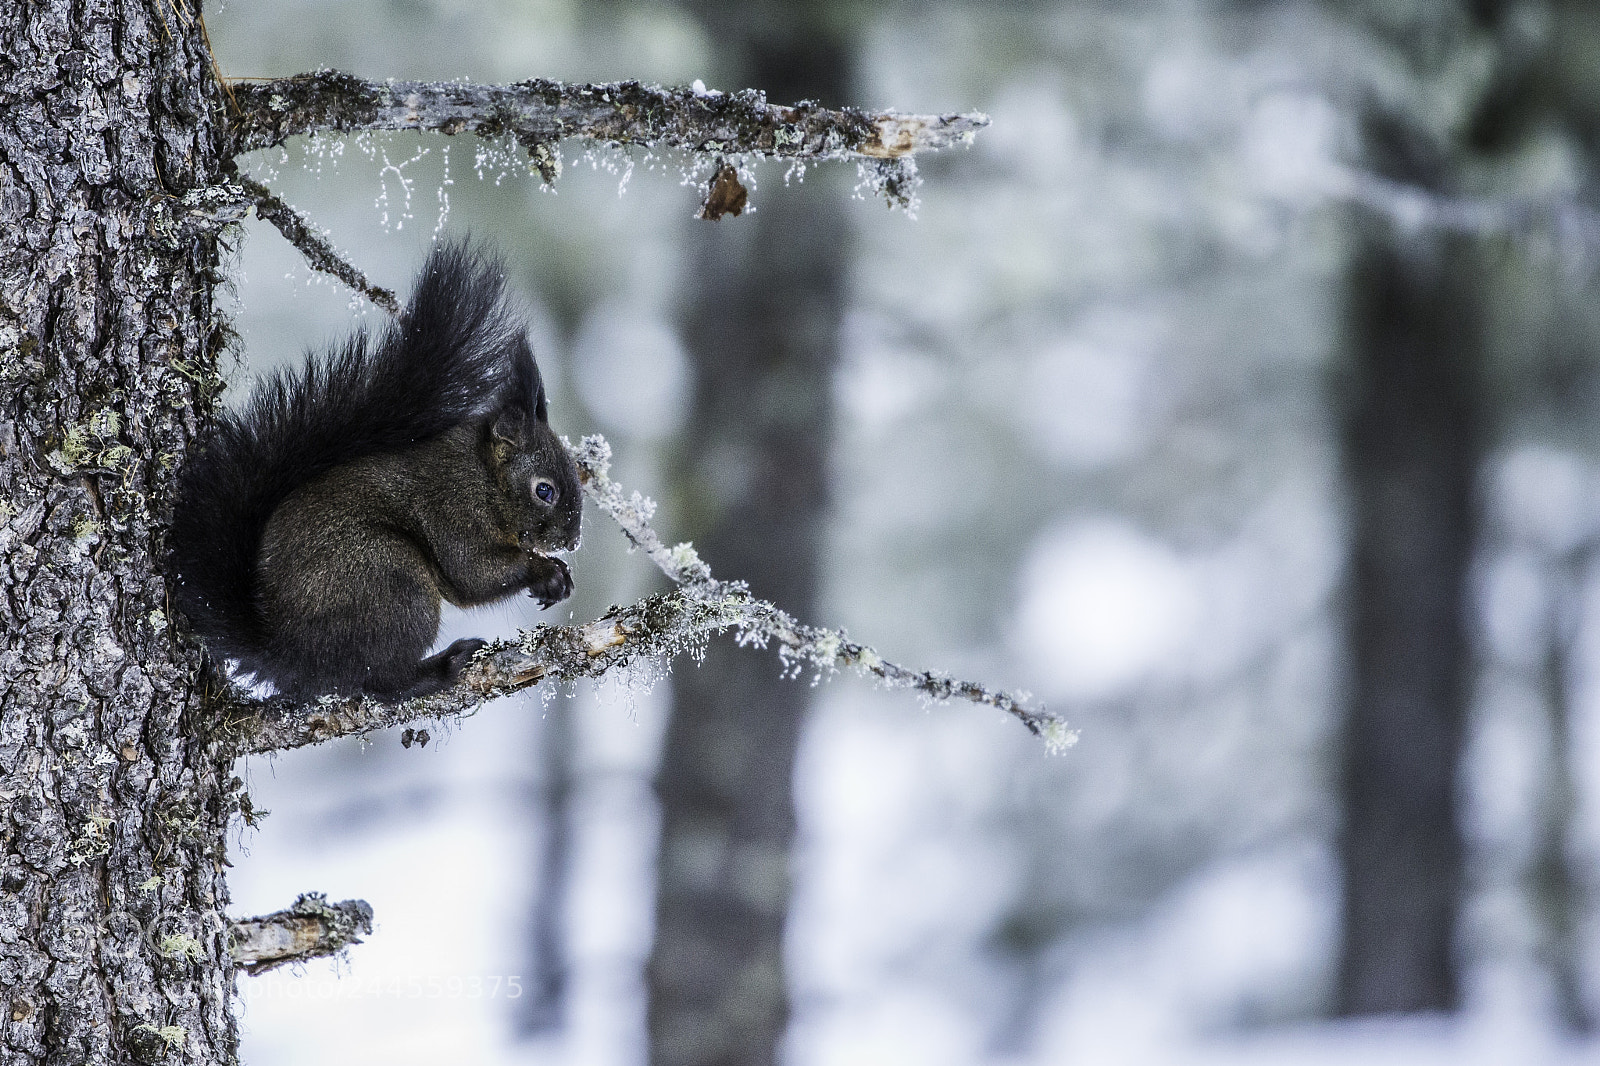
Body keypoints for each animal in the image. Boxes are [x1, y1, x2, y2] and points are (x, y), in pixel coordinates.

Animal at [167, 242, 582, 701]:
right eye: (544, 490)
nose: (573, 540)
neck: (484, 477)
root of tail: (287, 652)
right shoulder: (453, 508)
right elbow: (473, 572)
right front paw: (546, 571)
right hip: (393, 581)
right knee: (378, 678)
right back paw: (441, 667)